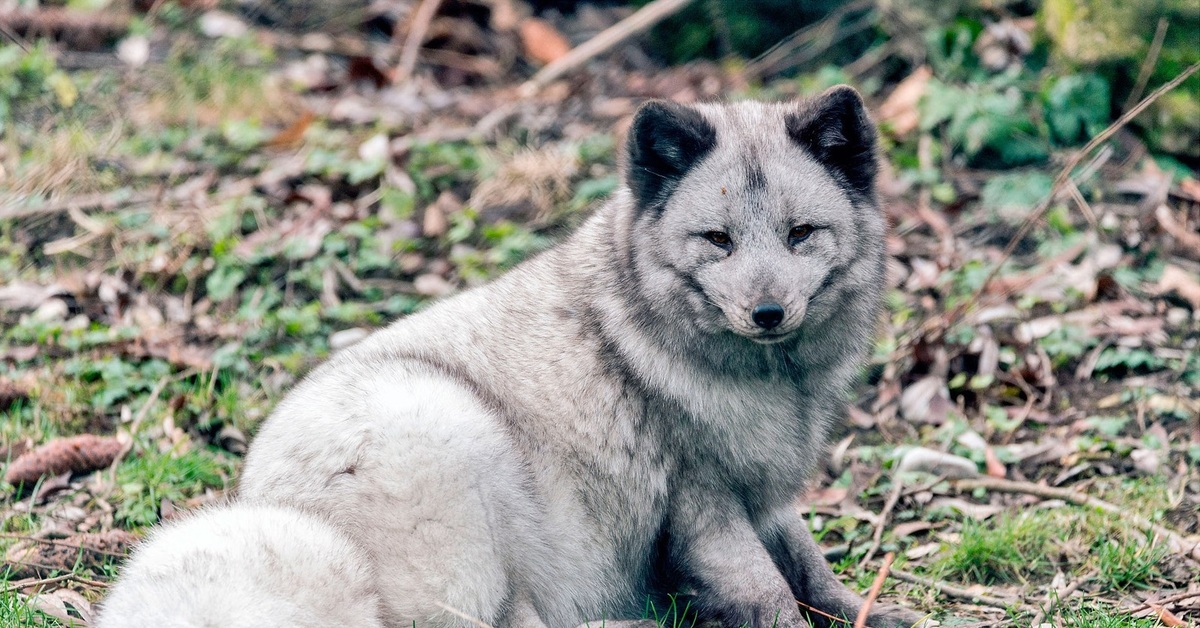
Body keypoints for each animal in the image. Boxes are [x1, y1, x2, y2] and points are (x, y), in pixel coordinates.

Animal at [100, 88, 926, 628]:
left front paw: (873, 613)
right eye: (717, 240)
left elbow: (813, 570)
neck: (776, 386)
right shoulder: (704, 503)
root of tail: (270, 499)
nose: (767, 314)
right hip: (456, 442)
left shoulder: (769, 498)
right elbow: (769, 594)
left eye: (800, 234)